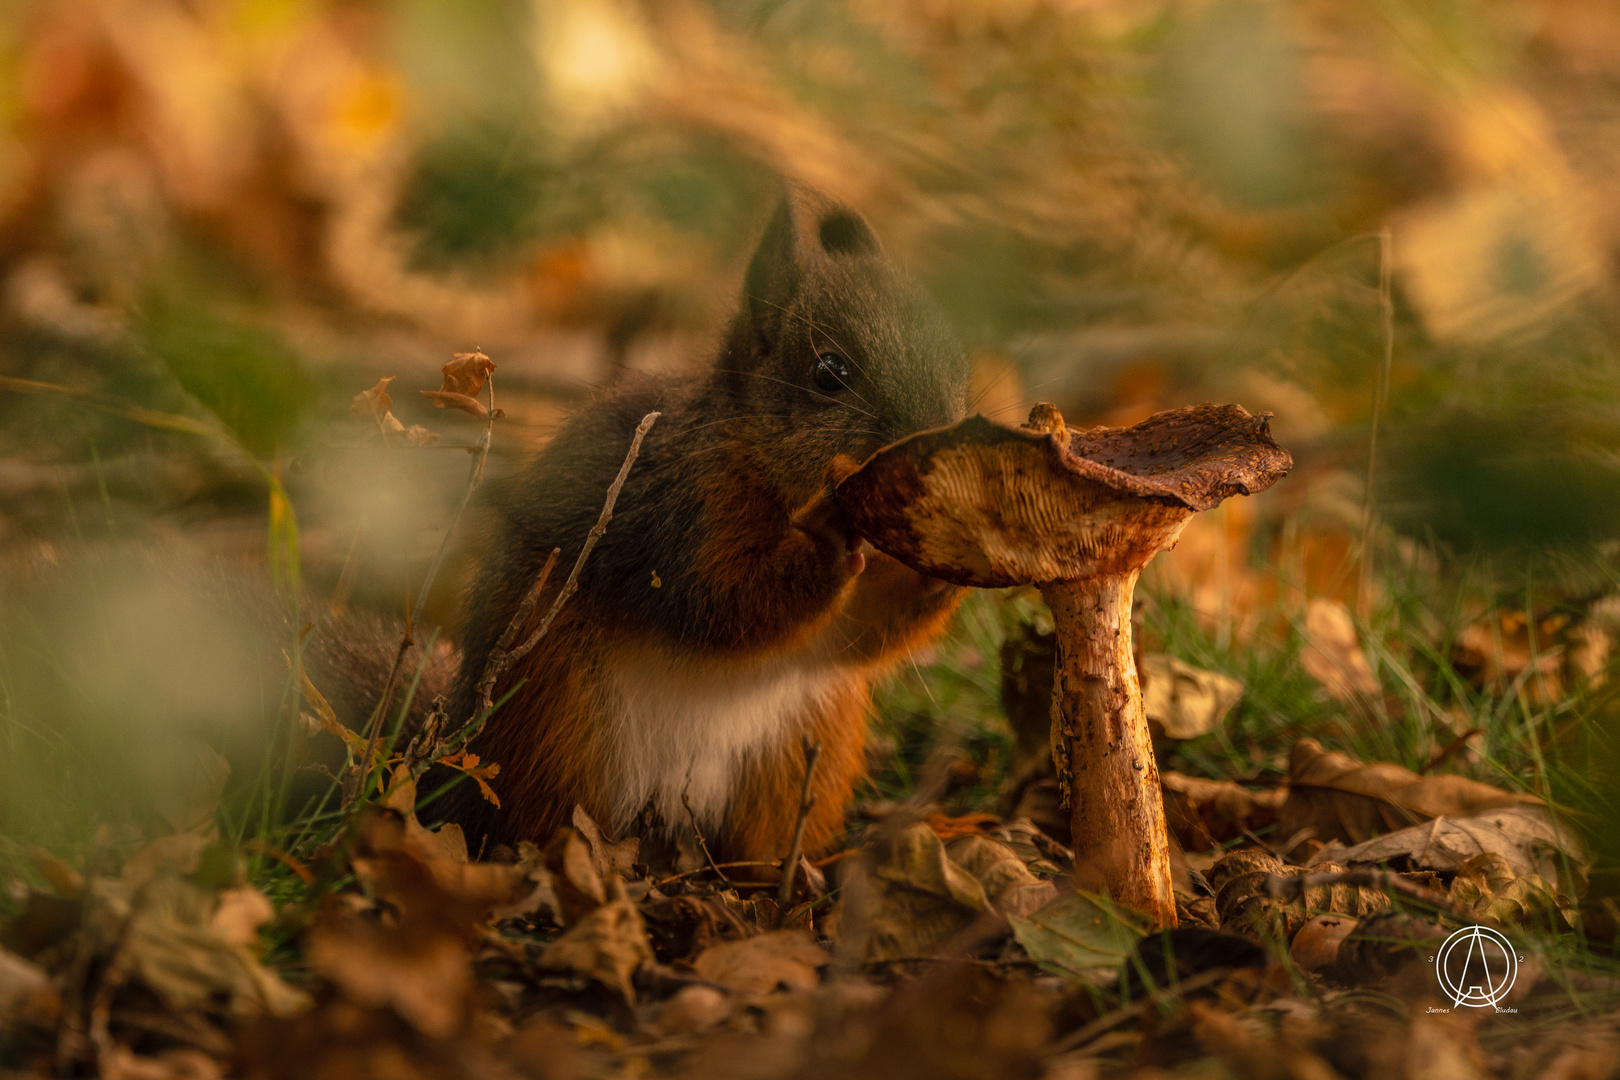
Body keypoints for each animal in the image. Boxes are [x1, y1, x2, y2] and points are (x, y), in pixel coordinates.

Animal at [437, 186, 965, 861]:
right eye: (829, 372)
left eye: (954, 362)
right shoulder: (681, 513)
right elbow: (716, 602)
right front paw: (825, 544)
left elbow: (854, 638)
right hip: (556, 726)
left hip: (797, 754)